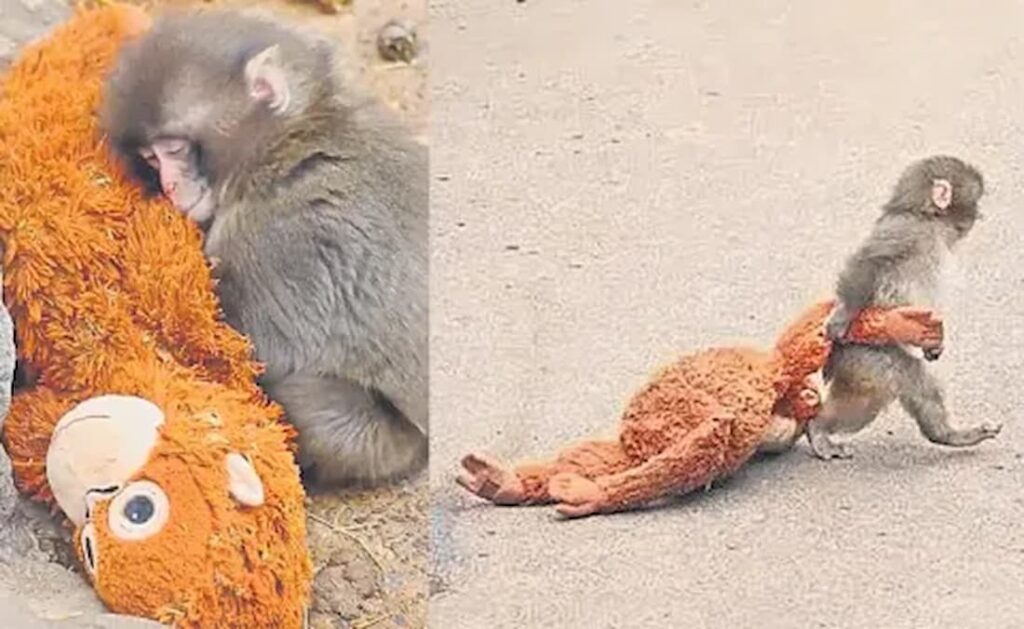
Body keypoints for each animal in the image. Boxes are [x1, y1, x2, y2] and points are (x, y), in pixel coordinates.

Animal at [99, 9, 428, 486]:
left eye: (174, 149)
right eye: (150, 159)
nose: (169, 187)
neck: (289, 143)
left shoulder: (272, 240)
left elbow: (258, 350)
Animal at [807, 155, 1001, 460]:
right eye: (976, 201)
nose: (980, 215)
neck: (928, 220)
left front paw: (935, 345)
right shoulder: (905, 231)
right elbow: (868, 262)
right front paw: (842, 315)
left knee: (919, 386)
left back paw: (949, 435)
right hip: (867, 355)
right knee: (870, 397)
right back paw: (817, 429)